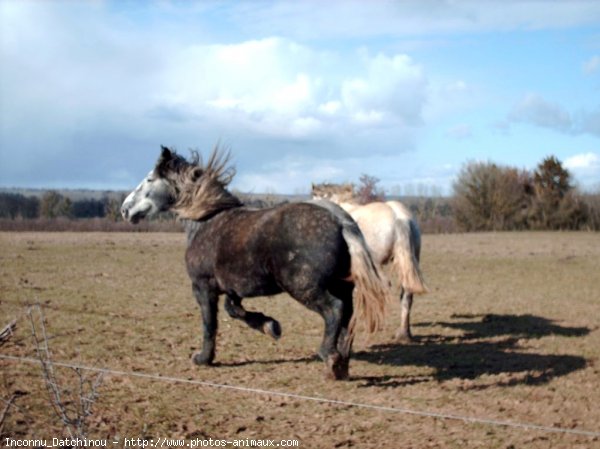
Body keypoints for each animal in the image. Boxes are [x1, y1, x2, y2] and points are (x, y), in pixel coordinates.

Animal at [122, 146, 394, 378]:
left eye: (149, 179)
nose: (126, 209)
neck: (205, 220)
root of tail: (340, 220)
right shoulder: (232, 289)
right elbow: (234, 311)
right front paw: (270, 326)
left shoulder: (203, 286)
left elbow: (210, 323)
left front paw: (203, 358)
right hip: (341, 286)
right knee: (347, 317)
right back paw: (340, 365)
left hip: (305, 287)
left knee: (335, 310)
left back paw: (330, 356)